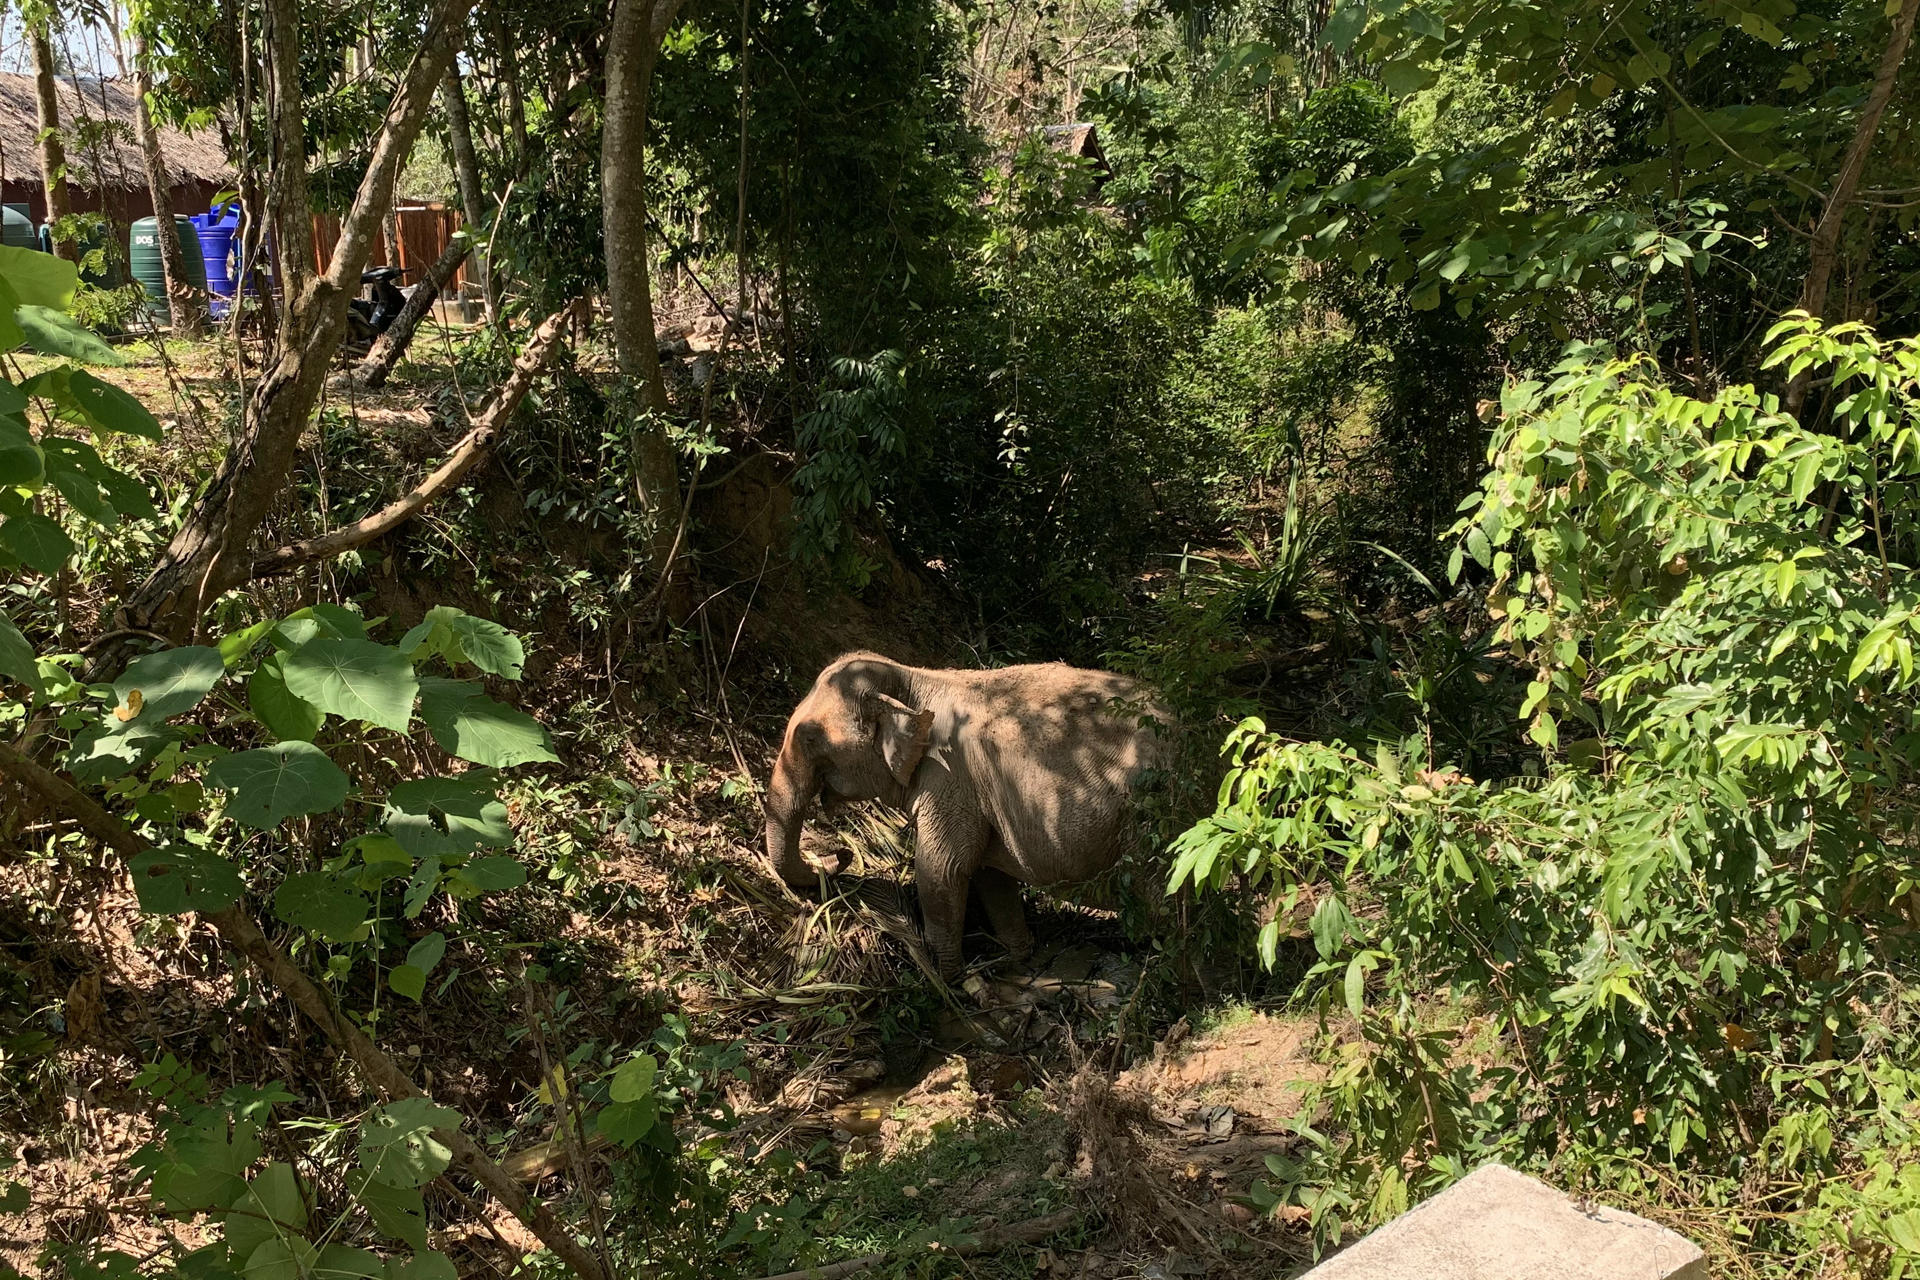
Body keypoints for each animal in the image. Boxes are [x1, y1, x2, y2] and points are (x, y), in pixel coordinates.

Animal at [764, 656, 1167, 974]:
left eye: (809, 737)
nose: (844, 853)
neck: (915, 679)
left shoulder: (949, 778)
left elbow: (942, 871)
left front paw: (948, 977)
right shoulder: (982, 798)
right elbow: (990, 874)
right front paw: (1018, 957)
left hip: (1148, 824)